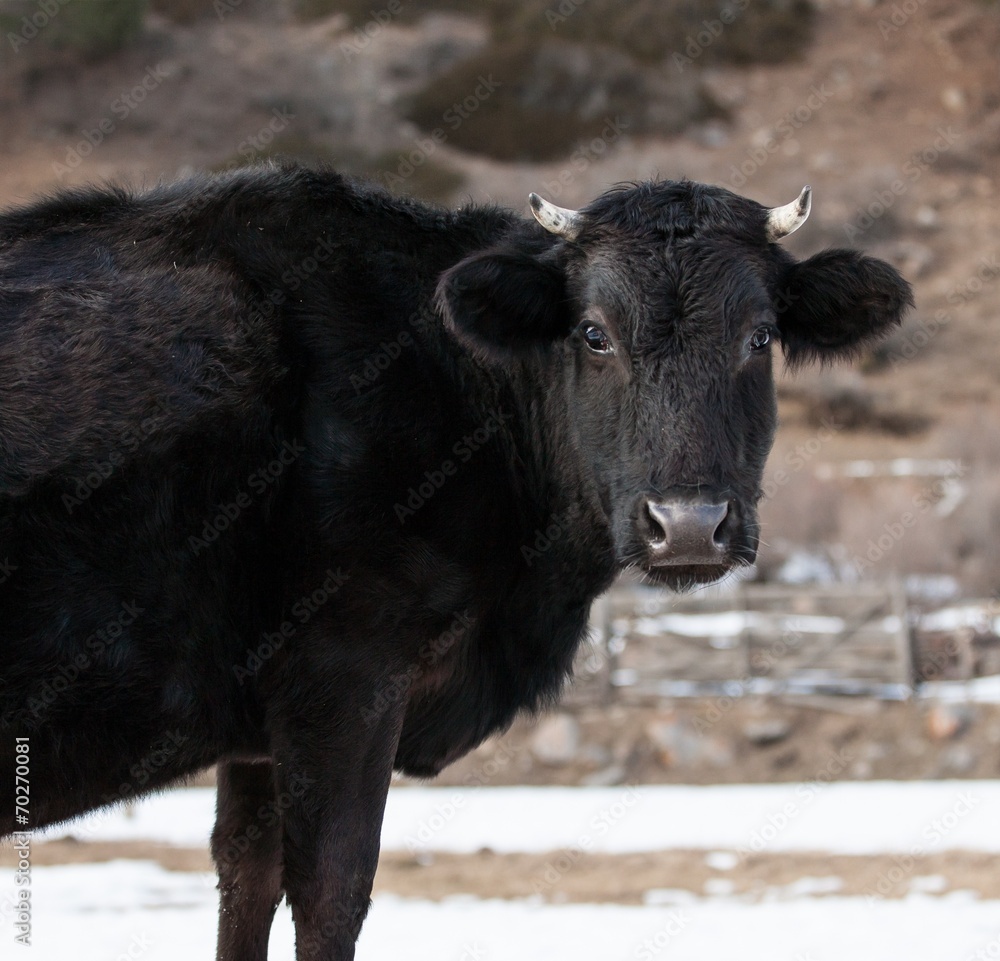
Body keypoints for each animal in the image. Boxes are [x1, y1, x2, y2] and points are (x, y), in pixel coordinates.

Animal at [0, 164, 911, 959]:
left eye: (761, 335)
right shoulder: (345, 671)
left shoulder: (255, 727)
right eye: (594, 333)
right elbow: (331, 891)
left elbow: (244, 881)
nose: (688, 525)